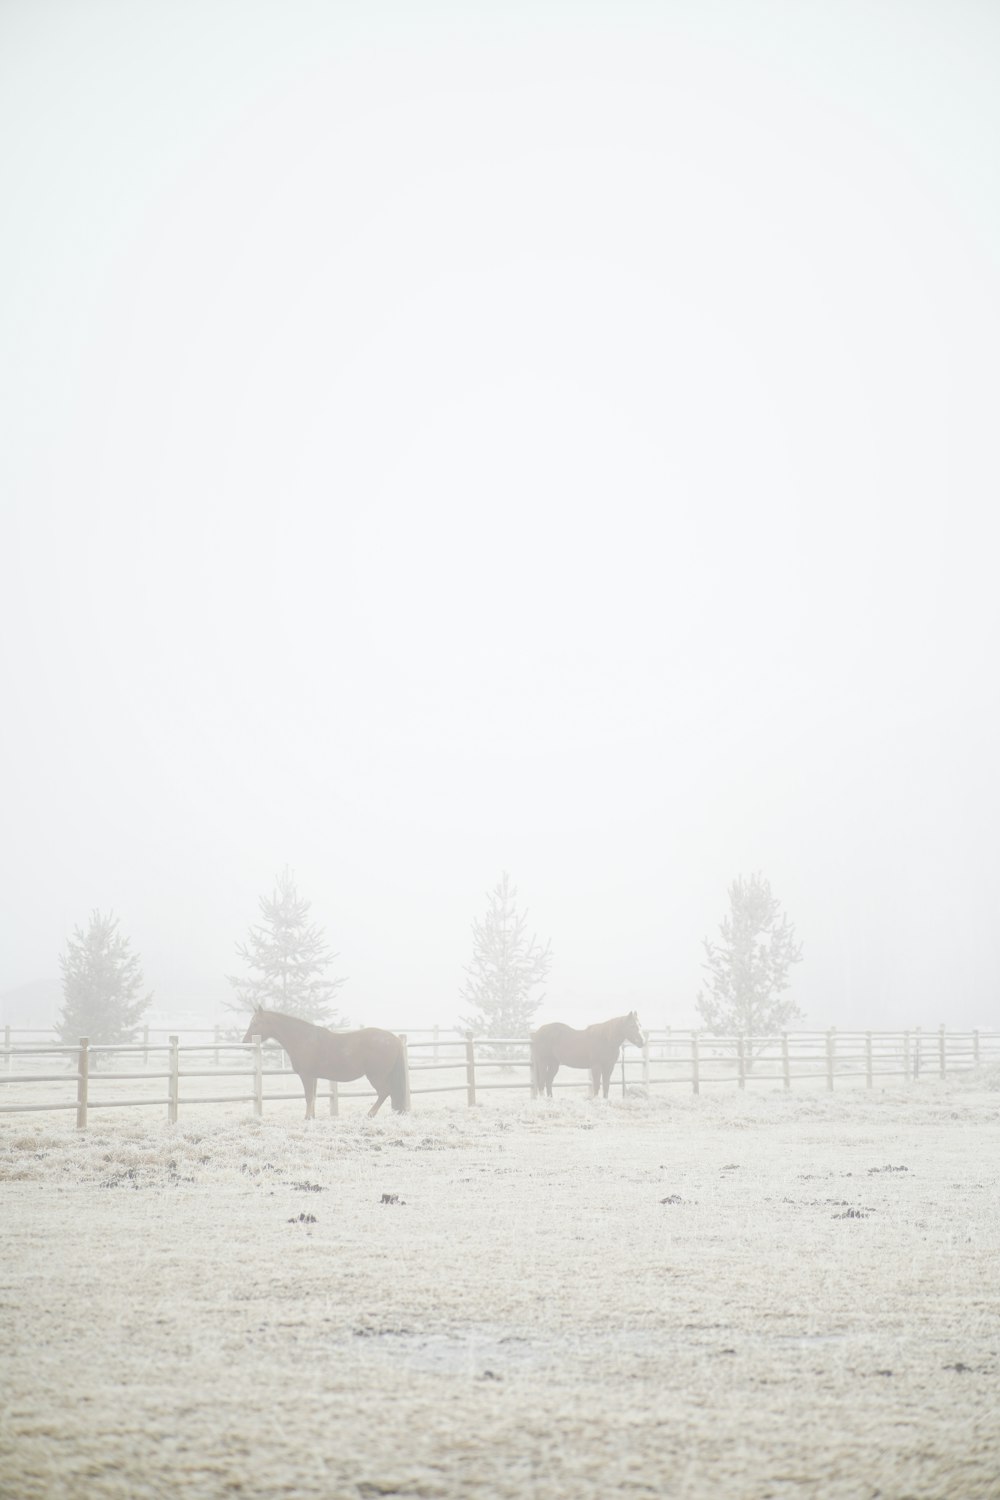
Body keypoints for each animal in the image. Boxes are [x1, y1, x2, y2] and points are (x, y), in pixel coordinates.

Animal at [241, 1014, 407, 1122]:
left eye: (256, 1022)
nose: (245, 1042)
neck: (303, 1039)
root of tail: (395, 1039)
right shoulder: (313, 1077)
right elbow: (313, 1096)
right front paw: (312, 1117)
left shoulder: (306, 1075)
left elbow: (308, 1096)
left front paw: (307, 1118)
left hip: (376, 1076)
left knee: (384, 1092)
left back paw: (370, 1114)